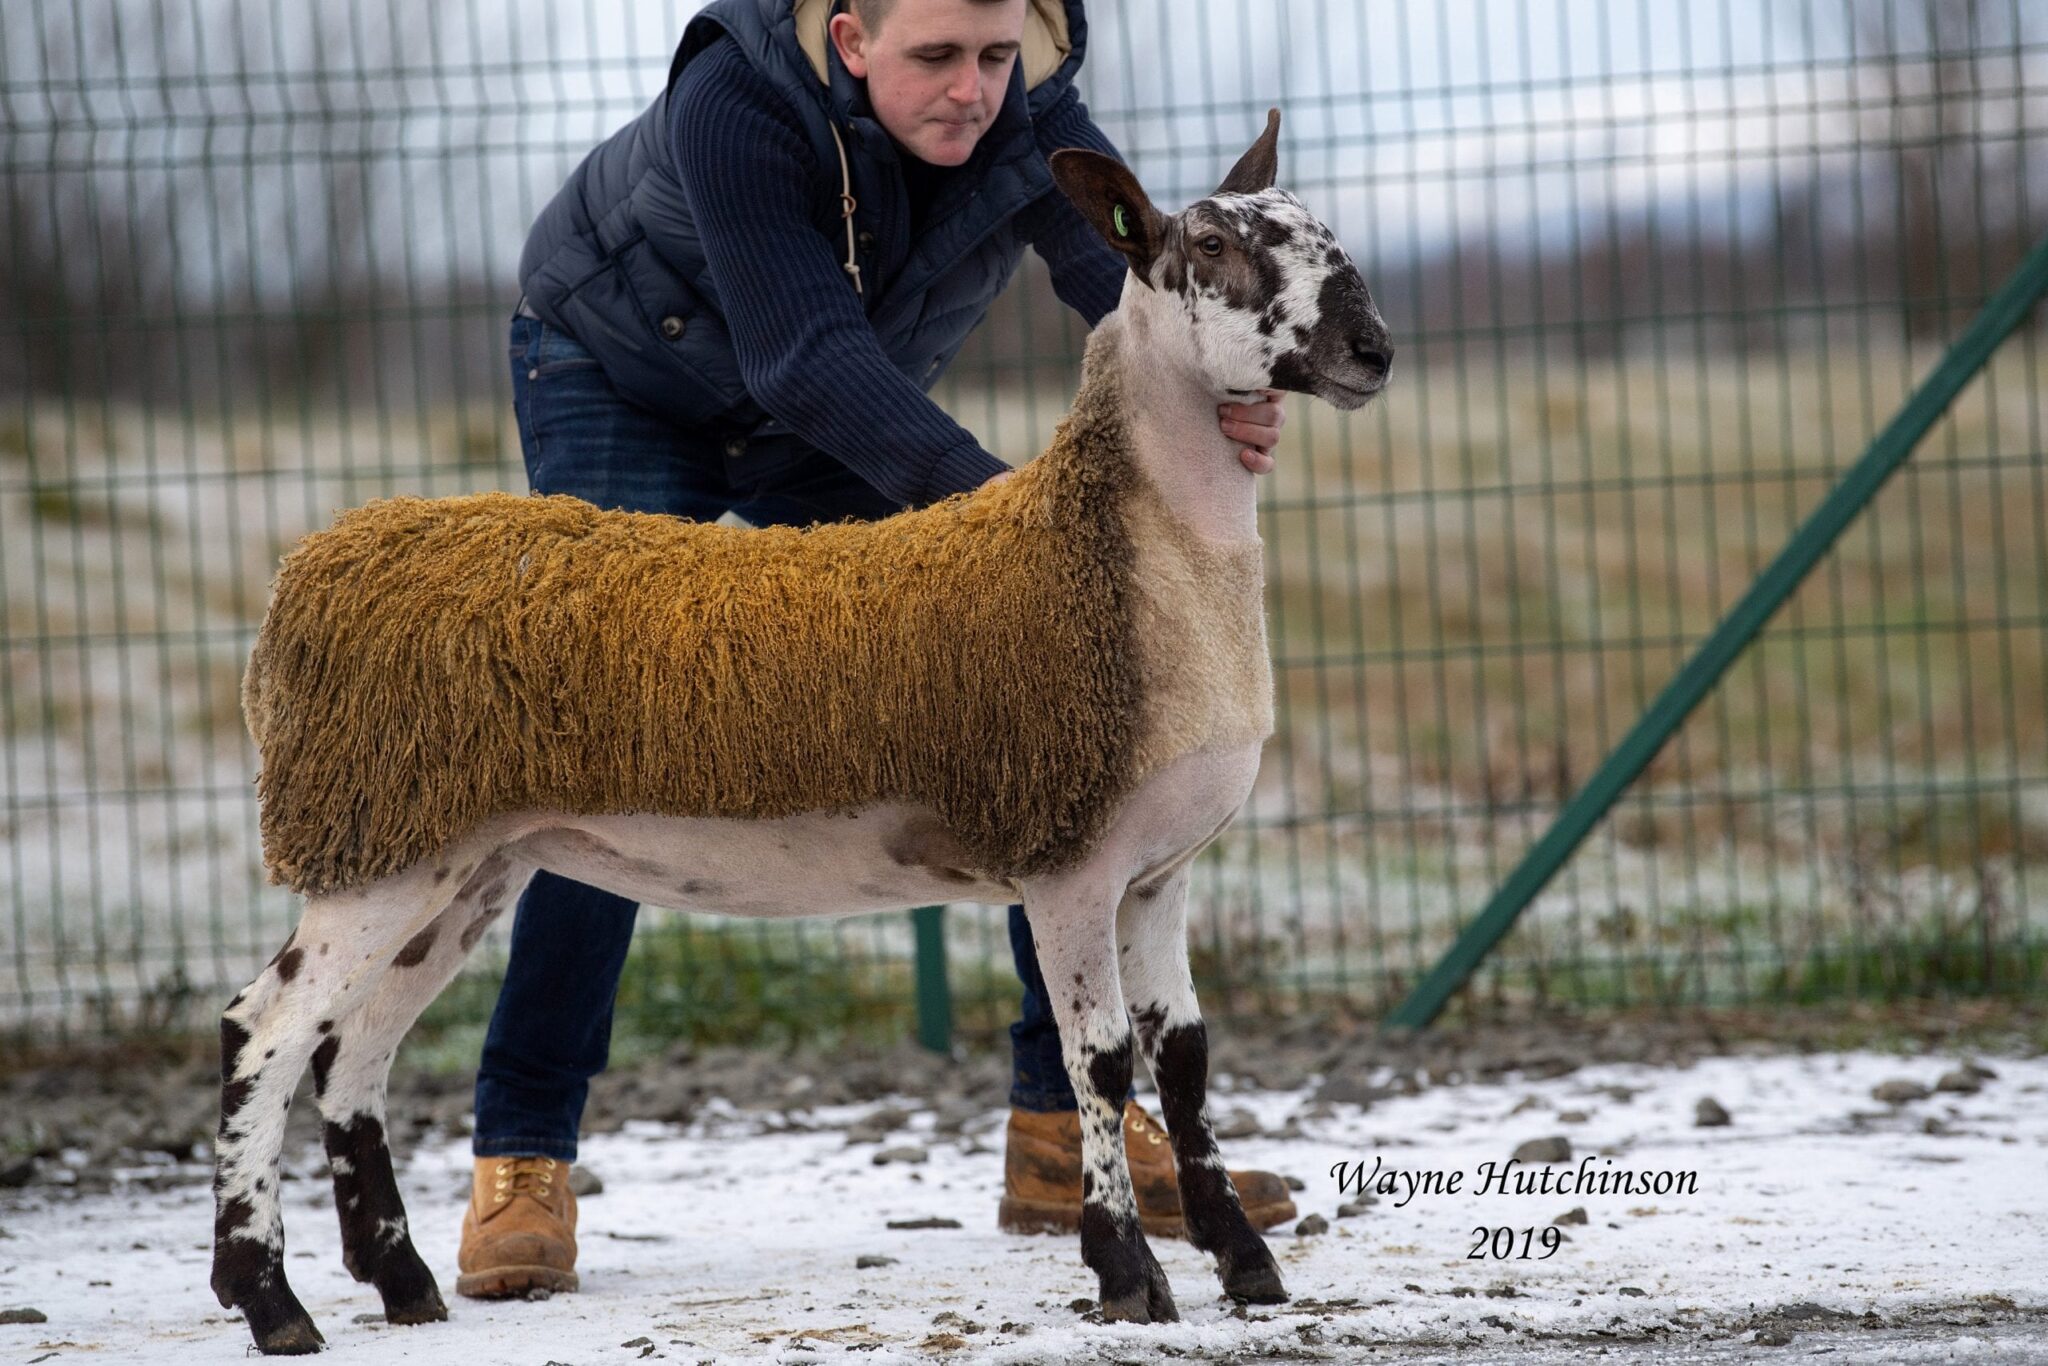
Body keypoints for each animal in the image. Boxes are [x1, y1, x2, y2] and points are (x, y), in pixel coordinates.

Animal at [211, 114, 1392, 1359]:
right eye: (1211, 245)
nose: (1371, 350)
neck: (1129, 558)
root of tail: (311, 569)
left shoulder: (1160, 870)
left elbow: (1186, 1060)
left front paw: (1243, 1259)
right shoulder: (1067, 857)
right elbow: (1102, 1060)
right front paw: (1126, 1273)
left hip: (458, 858)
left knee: (354, 1048)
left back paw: (399, 1281)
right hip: (377, 833)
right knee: (264, 1030)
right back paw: (270, 1297)